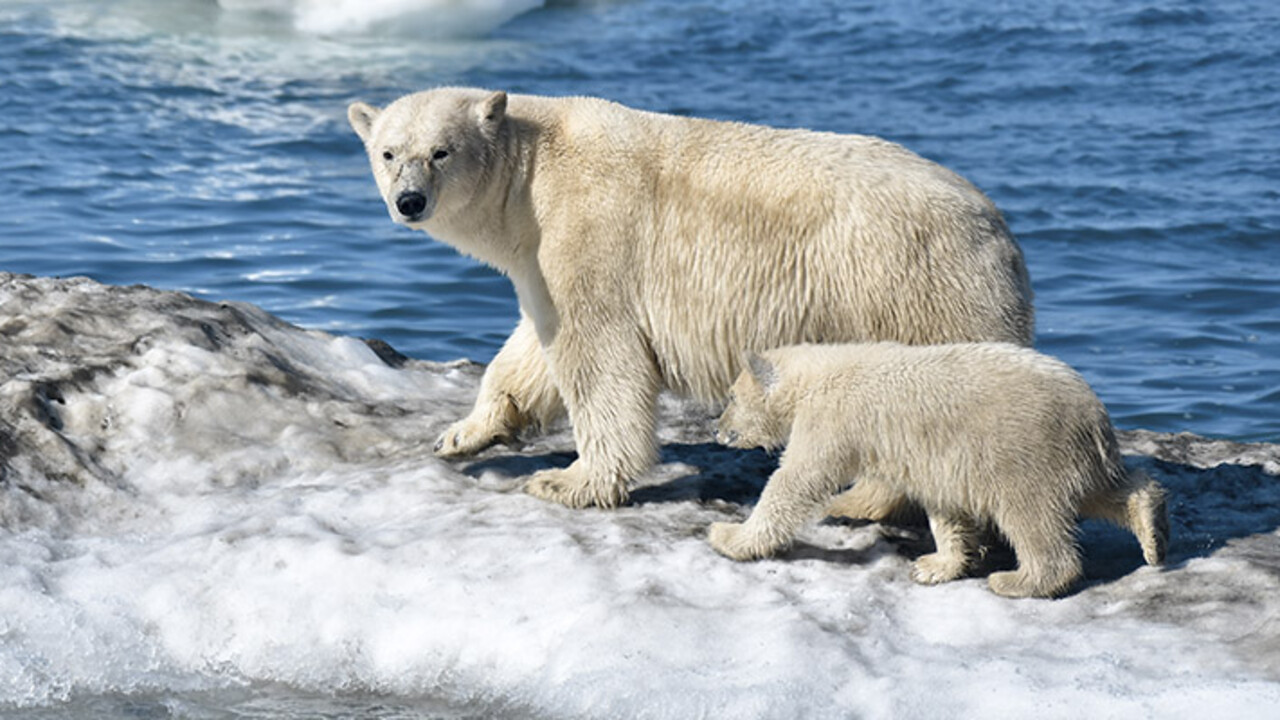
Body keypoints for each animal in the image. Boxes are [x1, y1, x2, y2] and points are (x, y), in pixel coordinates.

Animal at [345, 87, 1034, 507]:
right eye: (387, 152)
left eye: (441, 152)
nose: (410, 201)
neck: (532, 172)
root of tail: (997, 228)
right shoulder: (539, 257)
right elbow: (533, 347)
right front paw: (464, 434)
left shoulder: (588, 232)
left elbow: (599, 355)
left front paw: (570, 480)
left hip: (911, 288)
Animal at [711, 340, 1172, 594]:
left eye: (731, 396)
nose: (717, 428)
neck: (817, 376)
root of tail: (1095, 415)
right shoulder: (940, 458)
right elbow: (945, 505)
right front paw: (935, 565)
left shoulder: (832, 421)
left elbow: (794, 482)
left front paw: (728, 536)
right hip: (1071, 455)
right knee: (1105, 490)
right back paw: (1153, 531)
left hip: (1025, 450)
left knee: (1032, 516)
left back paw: (1018, 582)